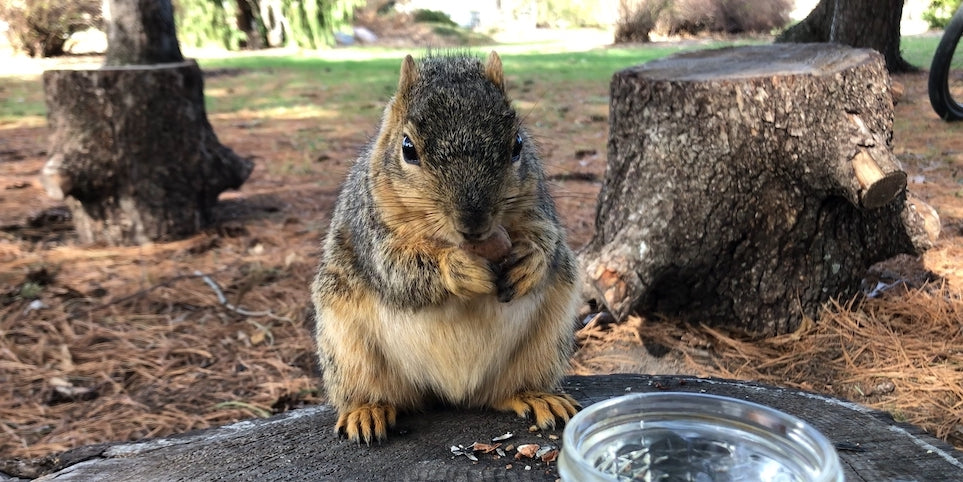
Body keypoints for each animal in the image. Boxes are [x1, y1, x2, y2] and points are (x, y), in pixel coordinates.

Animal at [311, 51, 582, 444]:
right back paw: (367, 410)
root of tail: (454, 392)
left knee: (505, 391)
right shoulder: (371, 233)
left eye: (518, 143)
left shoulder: (538, 205)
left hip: (546, 342)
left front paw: (530, 259)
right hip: (346, 346)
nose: (474, 222)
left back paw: (536, 395)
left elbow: (548, 237)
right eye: (407, 148)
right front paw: (460, 269)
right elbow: (398, 269)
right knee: (373, 390)